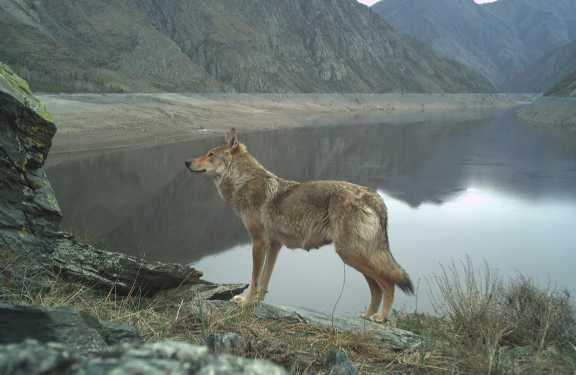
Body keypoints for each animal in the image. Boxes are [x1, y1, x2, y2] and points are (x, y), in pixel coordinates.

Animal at [186, 129, 414, 324]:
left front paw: (246, 301)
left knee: (388, 283)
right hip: (354, 256)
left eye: (210, 154)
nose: (187, 161)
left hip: (350, 254)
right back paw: (367, 317)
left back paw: (381, 317)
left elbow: (254, 278)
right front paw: (257, 302)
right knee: (376, 288)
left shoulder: (258, 242)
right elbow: (265, 280)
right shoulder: (274, 245)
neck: (243, 181)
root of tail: (374, 197)